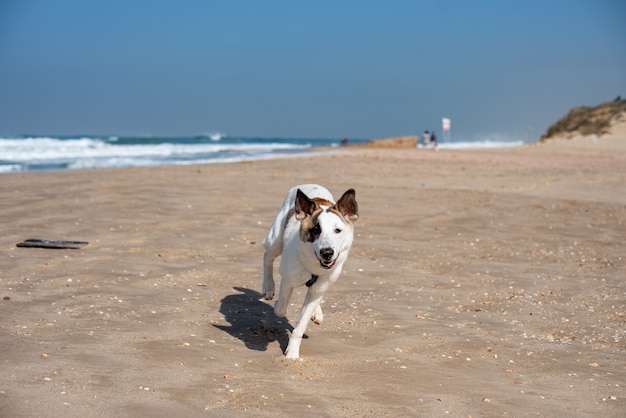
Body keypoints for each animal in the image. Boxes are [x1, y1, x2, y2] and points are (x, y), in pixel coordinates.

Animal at [260, 184, 356, 360]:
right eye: (316, 230)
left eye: (337, 230)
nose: (327, 252)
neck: (313, 266)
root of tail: (310, 185)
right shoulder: (288, 280)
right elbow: (281, 308)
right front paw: (277, 303)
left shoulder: (320, 286)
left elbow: (301, 325)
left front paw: (292, 353)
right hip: (275, 240)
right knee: (267, 256)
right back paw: (268, 286)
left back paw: (316, 313)